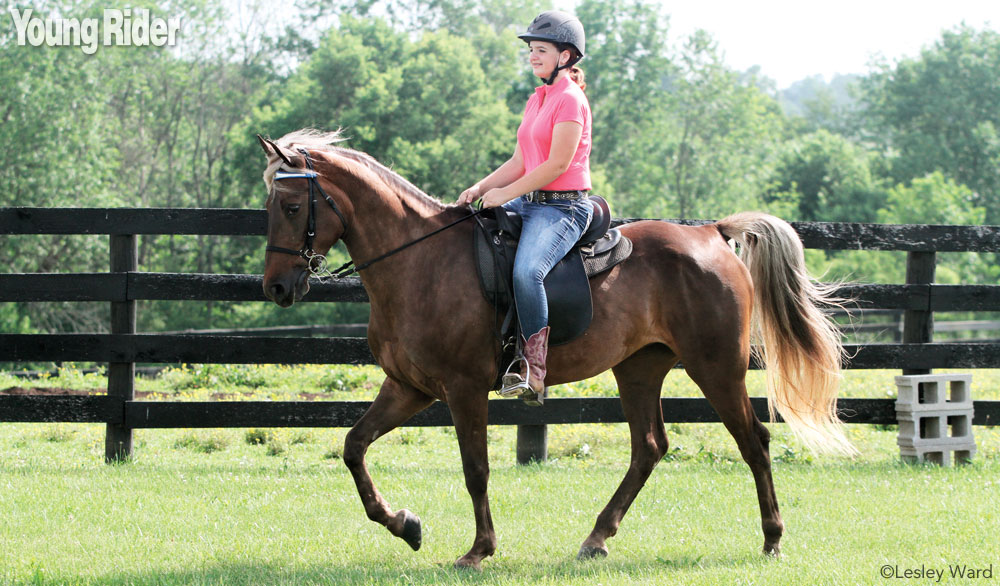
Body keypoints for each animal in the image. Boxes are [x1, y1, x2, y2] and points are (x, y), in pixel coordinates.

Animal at [256, 130, 852, 568]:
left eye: (292, 207)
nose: (277, 288)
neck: (418, 262)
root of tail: (710, 233)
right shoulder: (409, 387)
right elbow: (353, 446)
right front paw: (405, 525)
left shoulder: (463, 390)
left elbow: (476, 468)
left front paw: (478, 550)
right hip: (639, 369)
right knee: (649, 447)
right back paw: (596, 538)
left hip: (717, 368)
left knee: (754, 441)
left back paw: (772, 538)